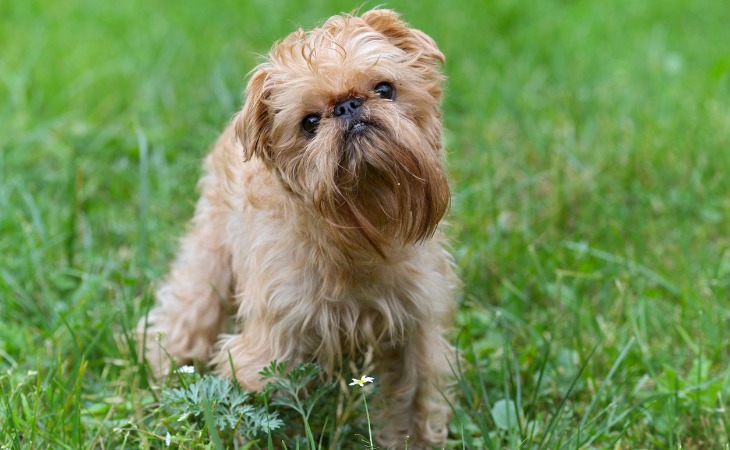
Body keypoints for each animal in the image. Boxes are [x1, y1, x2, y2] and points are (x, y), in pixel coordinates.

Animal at [136, 8, 456, 448]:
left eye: (385, 89)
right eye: (309, 123)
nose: (348, 106)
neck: (358, 231)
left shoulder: (415, 329)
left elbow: (414, 404)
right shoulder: (272, 344)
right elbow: (263, 406)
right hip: (209, 253)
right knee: (186, 312)